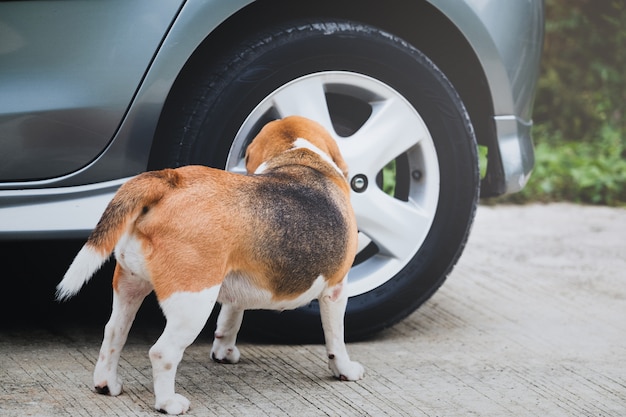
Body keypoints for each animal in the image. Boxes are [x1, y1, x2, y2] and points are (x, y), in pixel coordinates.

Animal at [58, 115, 364, 414]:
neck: (298, 156)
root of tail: (171, 180)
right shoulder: (336, 290)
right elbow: (336, 338)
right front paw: (344, 370)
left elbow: (230, 318)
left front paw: (224, 352)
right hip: (193, 303)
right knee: (162, 352)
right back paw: (168, 403)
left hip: (129, 284)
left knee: (113, 333)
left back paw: (106, 384)